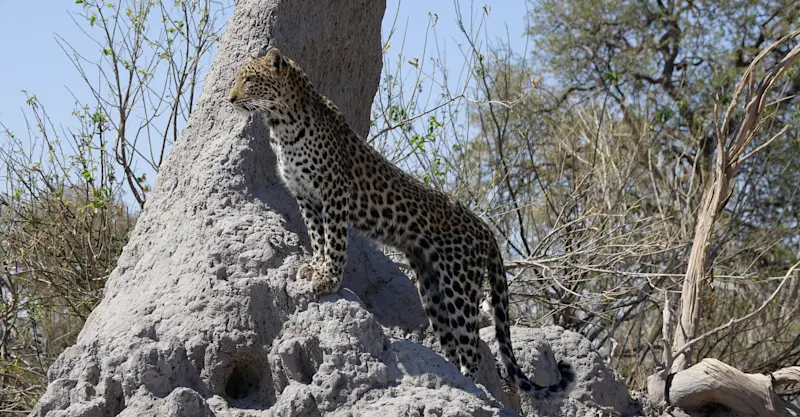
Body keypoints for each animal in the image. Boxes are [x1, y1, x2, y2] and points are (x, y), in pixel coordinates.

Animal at [228, 47, 574, 398]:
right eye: (236, 80)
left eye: (249, 80)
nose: (230, 99)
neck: (281, 124)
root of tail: (485, 228)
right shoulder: (306, 197)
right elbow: (317, 237)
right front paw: (315, 267)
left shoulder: (334, 192)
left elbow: (335, 241)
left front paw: (329, 279)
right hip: (432, 289)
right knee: (453, 342)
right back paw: (454, 379)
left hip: (459, 286)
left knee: (472, 345)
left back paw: (470, 386)